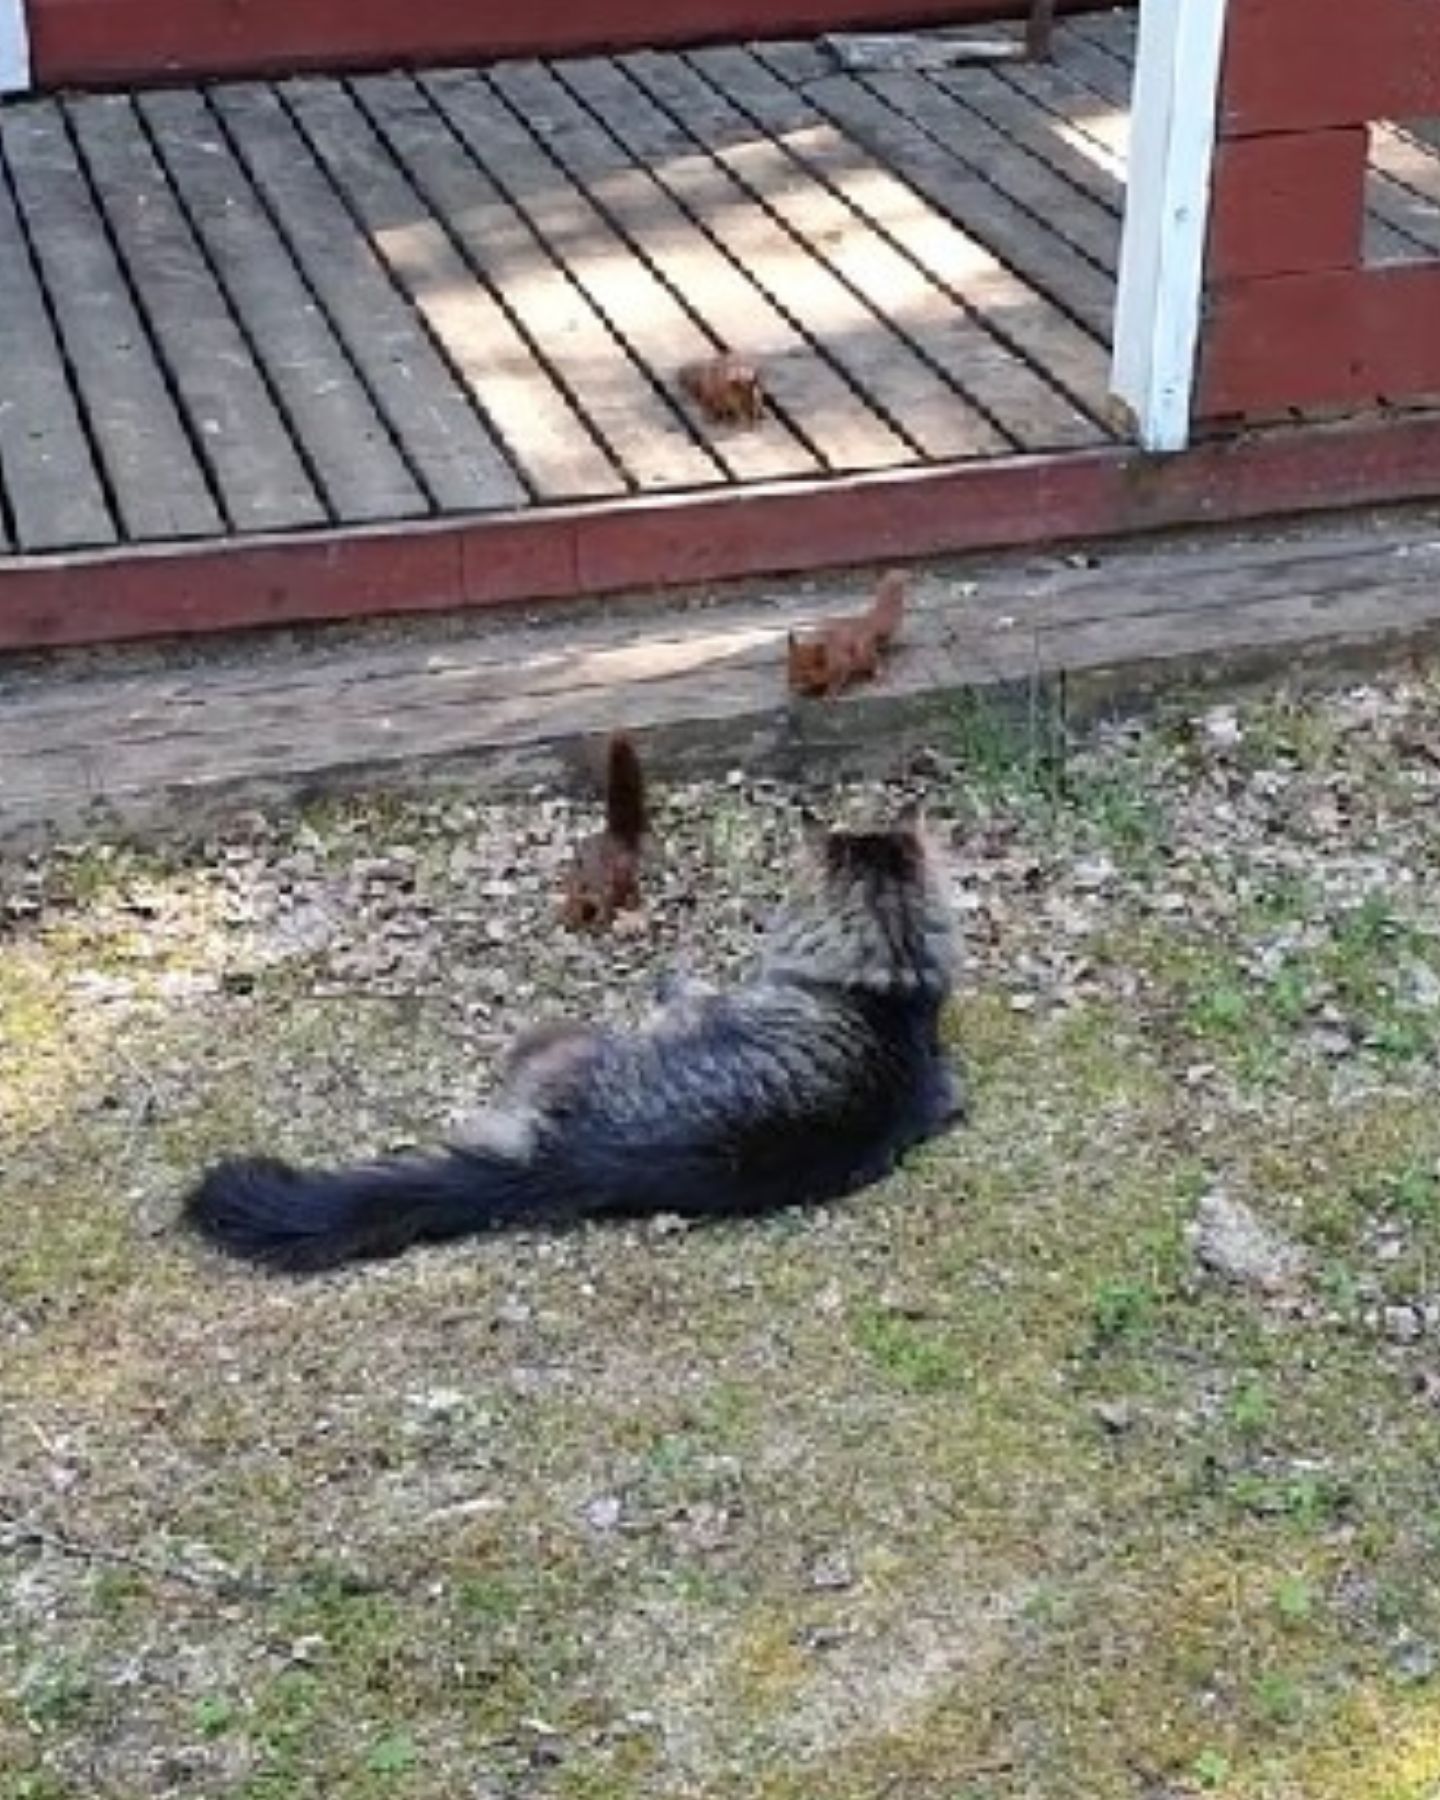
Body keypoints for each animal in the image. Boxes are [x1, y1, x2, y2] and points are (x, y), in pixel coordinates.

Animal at [558, 727, 648, 928]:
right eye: (566, 912)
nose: (569, 924)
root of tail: (615, 835)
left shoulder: (603, 890)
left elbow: (605, 904)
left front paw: (601, 920)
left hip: (625, 867)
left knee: (631, 885)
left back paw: (632, 901)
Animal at [781, 565, 907, 698]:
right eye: (789, 666)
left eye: (805, 673)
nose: (790, 684)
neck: (826, 657)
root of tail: (866, 622)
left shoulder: (841, 664)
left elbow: (837, 680)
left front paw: (829, 694)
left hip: (863, 652)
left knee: (875, 661)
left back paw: (878, 674)